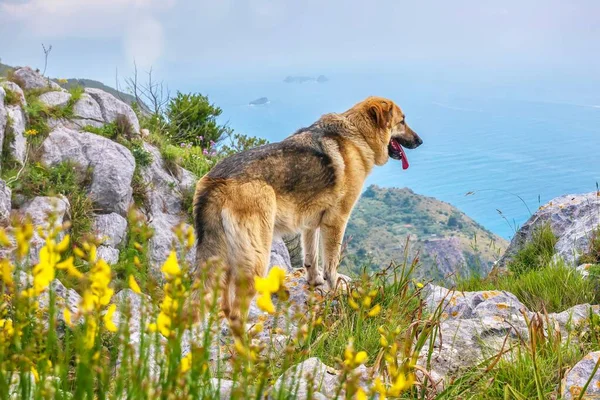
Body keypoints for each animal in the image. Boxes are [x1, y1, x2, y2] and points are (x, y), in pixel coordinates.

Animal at [192, 96, 422, 324]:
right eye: (402, 121)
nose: (419, 141)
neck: (357, 133)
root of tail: (216, 182)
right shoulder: (336, 220)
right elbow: (331, 264)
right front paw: (335, 288)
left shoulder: (311, 223)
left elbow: (311, 258)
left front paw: (314, 282)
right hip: (256, 257)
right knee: (237, 310)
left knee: (225, 304)